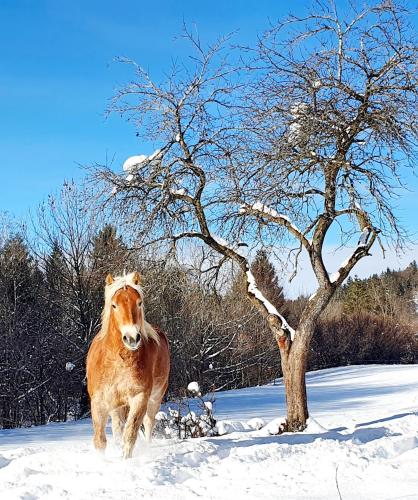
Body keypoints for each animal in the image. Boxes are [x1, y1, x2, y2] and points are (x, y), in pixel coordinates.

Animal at [85, 272, 171, 458]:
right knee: (117, 427)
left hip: (155, 398)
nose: (131, 338)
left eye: (139, 302)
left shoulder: (140, 397)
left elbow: (130, 436)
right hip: (116, 405)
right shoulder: (99, 402)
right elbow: (100, 441)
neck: (117, 362)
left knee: (148, 423)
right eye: (114, 305)